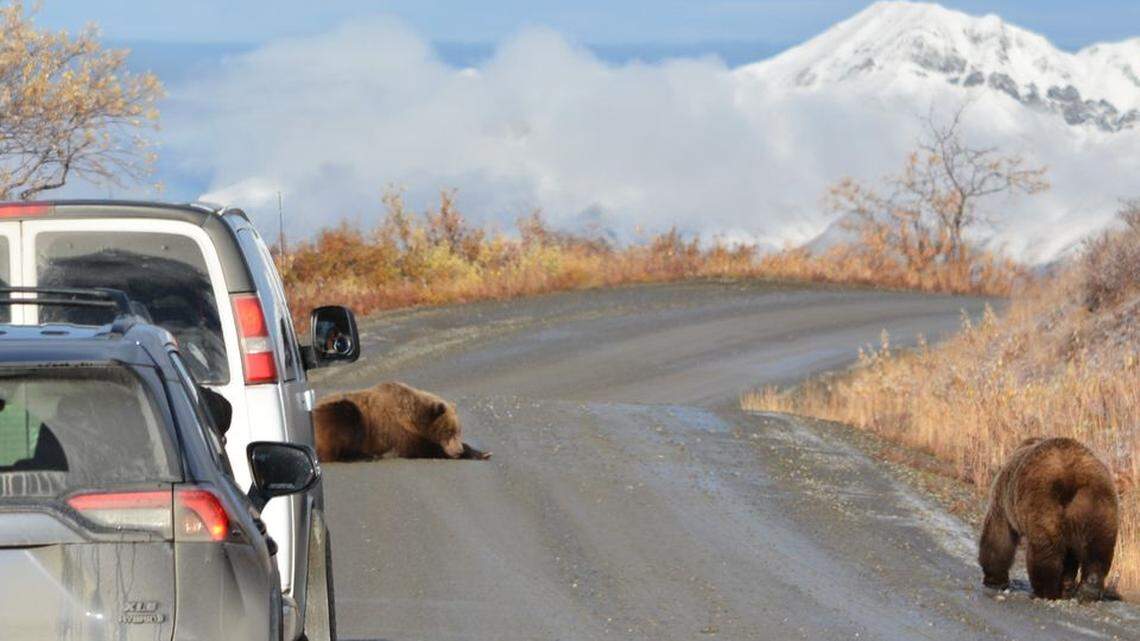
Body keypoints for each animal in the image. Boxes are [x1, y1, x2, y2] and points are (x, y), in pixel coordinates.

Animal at [313, 381, 491, 462]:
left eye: (459, 431)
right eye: (448, 431)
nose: (458, 450)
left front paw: (483, 452)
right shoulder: (395, 431)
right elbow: (423, 448)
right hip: (339, 415)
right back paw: (365, 455)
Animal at [978, 437, 1119, 601]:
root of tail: (1071, 476)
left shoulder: (1002, 498)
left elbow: (999, 535)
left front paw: (994, 579)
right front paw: (1067, 585)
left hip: (1043, 501)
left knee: (1046, 547)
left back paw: (1045, 590)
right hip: (1097, 501)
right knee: (1098, 546)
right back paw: (1088, 589)